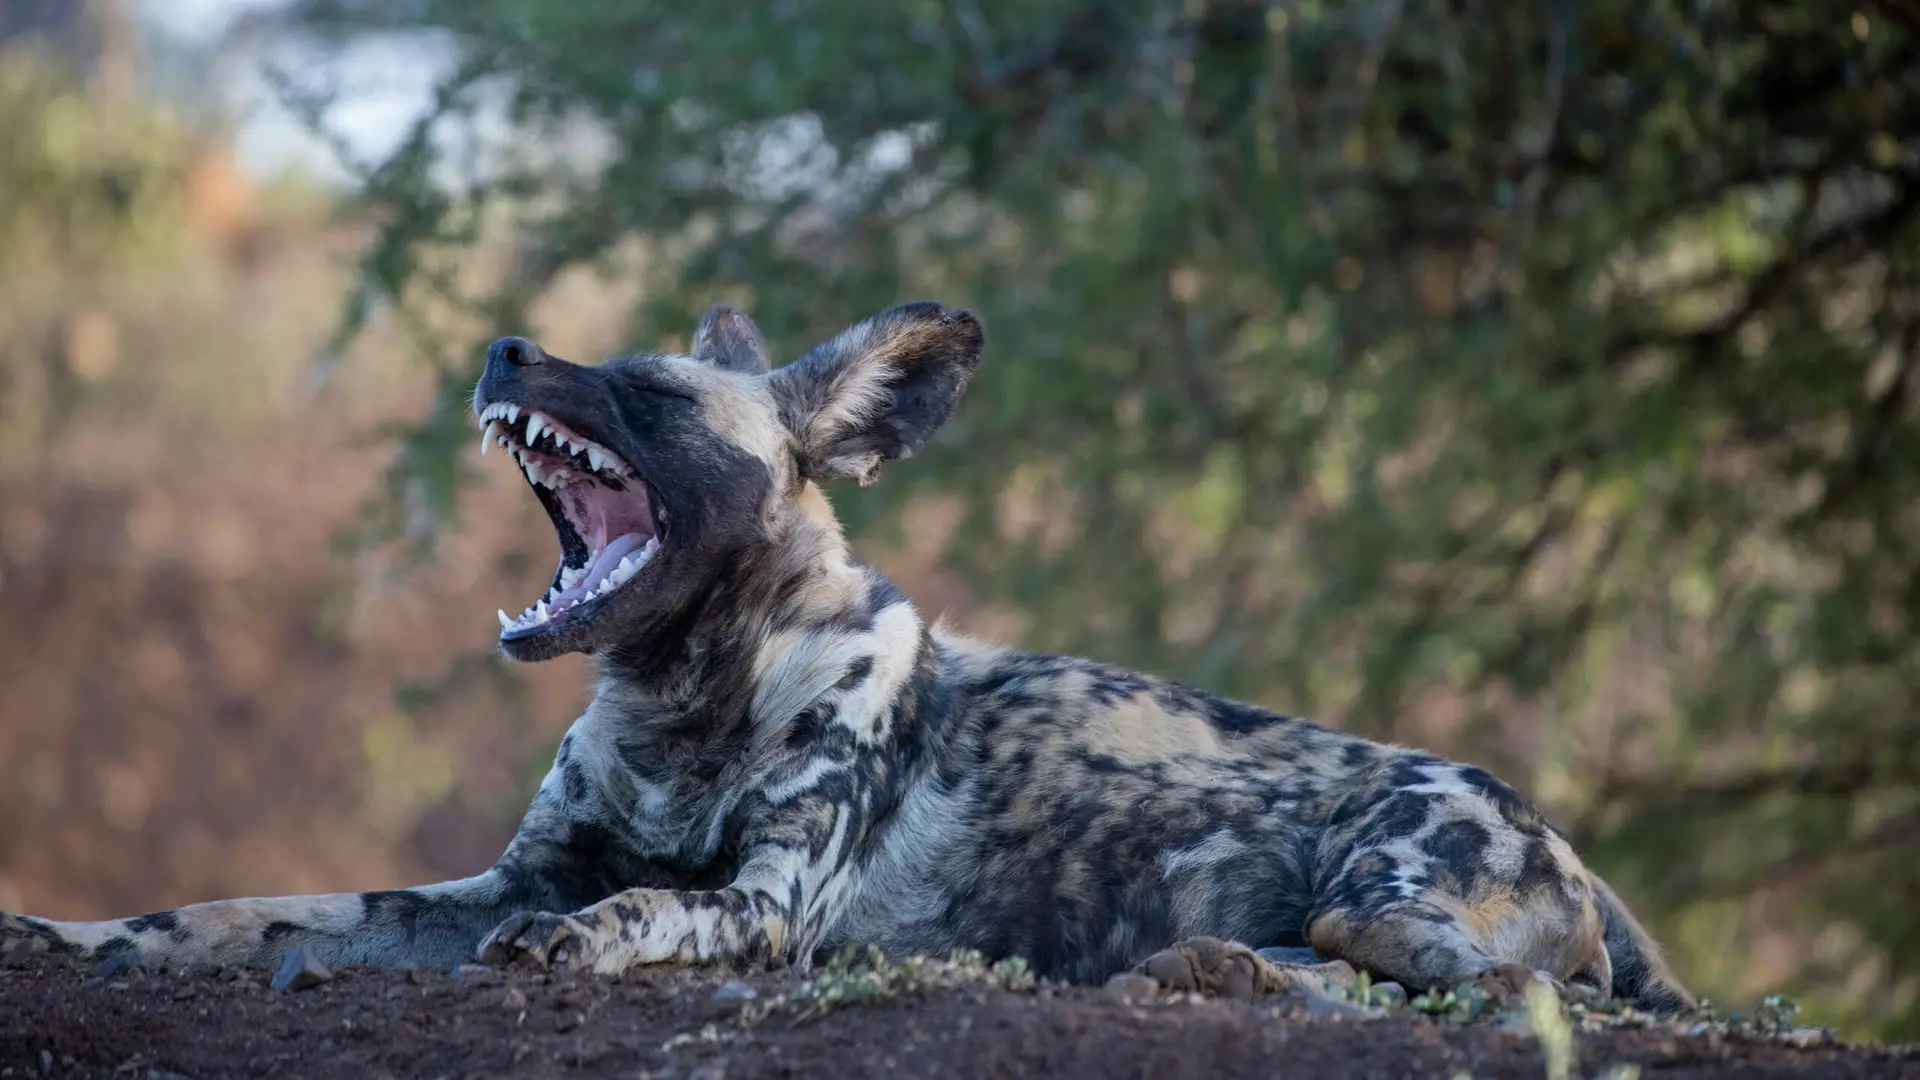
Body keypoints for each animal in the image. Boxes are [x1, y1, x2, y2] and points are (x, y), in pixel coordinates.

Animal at [0, 297, 1689, 1006]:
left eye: (648, 393)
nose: (502, 347)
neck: (684, 708)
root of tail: (1566, 840)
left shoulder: (759, 908)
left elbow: (636, 913)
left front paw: (582, 947)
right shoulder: (486, 881)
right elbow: (233, 912)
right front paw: (68, 937)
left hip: (1386, 882)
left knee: (1493, 985)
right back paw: (1207, 966)